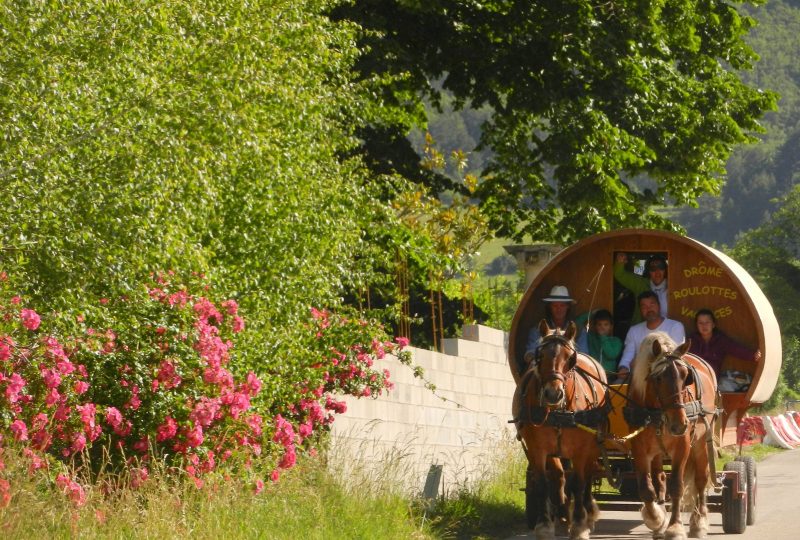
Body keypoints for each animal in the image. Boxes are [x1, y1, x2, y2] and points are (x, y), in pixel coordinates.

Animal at [516, 320, 608, 540]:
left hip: (594, 446)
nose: (553, 393)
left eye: (570, 359)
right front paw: (546, 524)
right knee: (560, 476)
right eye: (539, 356)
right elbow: (546, 482)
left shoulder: (582, 450)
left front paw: (579, 525)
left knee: (587, 477)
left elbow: (579, 483)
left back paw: (587, 512)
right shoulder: (538, 448)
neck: (559, 411)